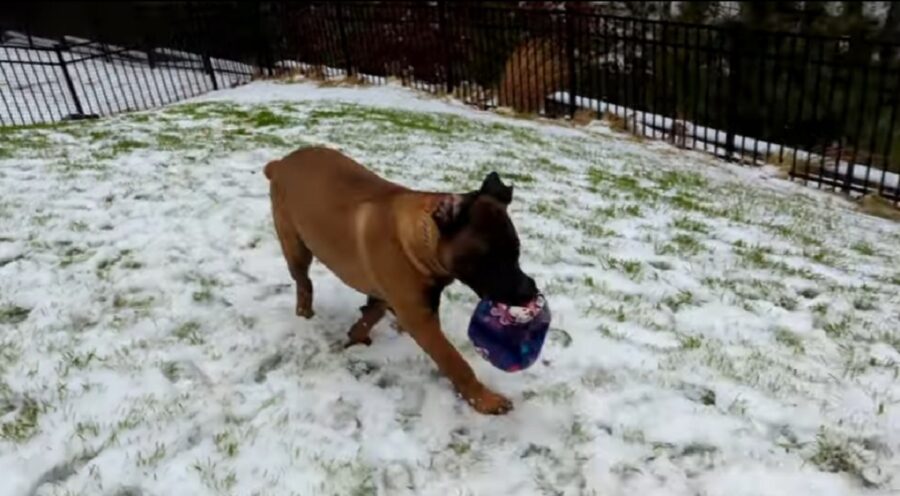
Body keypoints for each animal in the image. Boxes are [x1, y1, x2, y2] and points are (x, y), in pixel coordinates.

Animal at [264, 147, 536, 414]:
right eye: (487, 259)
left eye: (516, 251)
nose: (530, 291)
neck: (419, 242)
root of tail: (279, 164)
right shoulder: (419, 318)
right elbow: (454, 360)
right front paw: (484, 399)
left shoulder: (402, 297)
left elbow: (373, 312)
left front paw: (357, 334)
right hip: (295, 248)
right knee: (304, 284)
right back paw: (305, 314)